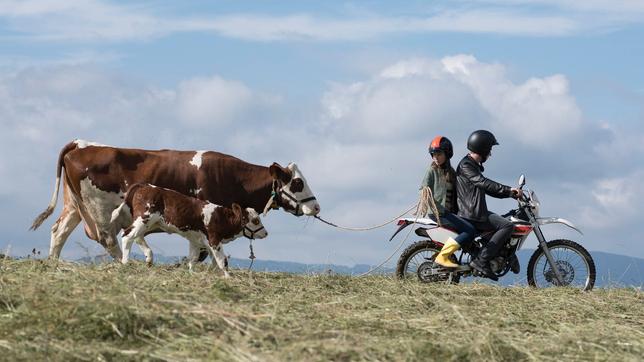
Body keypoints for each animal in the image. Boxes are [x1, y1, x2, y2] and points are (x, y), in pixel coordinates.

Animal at [30, 139, 322, 260]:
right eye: (297, 182)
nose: (316, 206)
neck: (232, 177)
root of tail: (81, 144)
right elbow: (204, 252)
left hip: (74, 207)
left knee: (58, 231)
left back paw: (54, 264)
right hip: (99, 212)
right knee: (110, 240)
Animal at [109, 182, 266, 276]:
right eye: (255, 220)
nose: (266, 233)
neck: (221, 217)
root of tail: (145, 185)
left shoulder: (197, 241)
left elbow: (194, 259)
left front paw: (194, 273)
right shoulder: (215, 240)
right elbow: (222, 261)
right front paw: (228, 277)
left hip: (149, 222)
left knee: (137, 237)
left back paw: (149, 257)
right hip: (144, 219)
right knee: (127, 235)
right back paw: (125, 262)